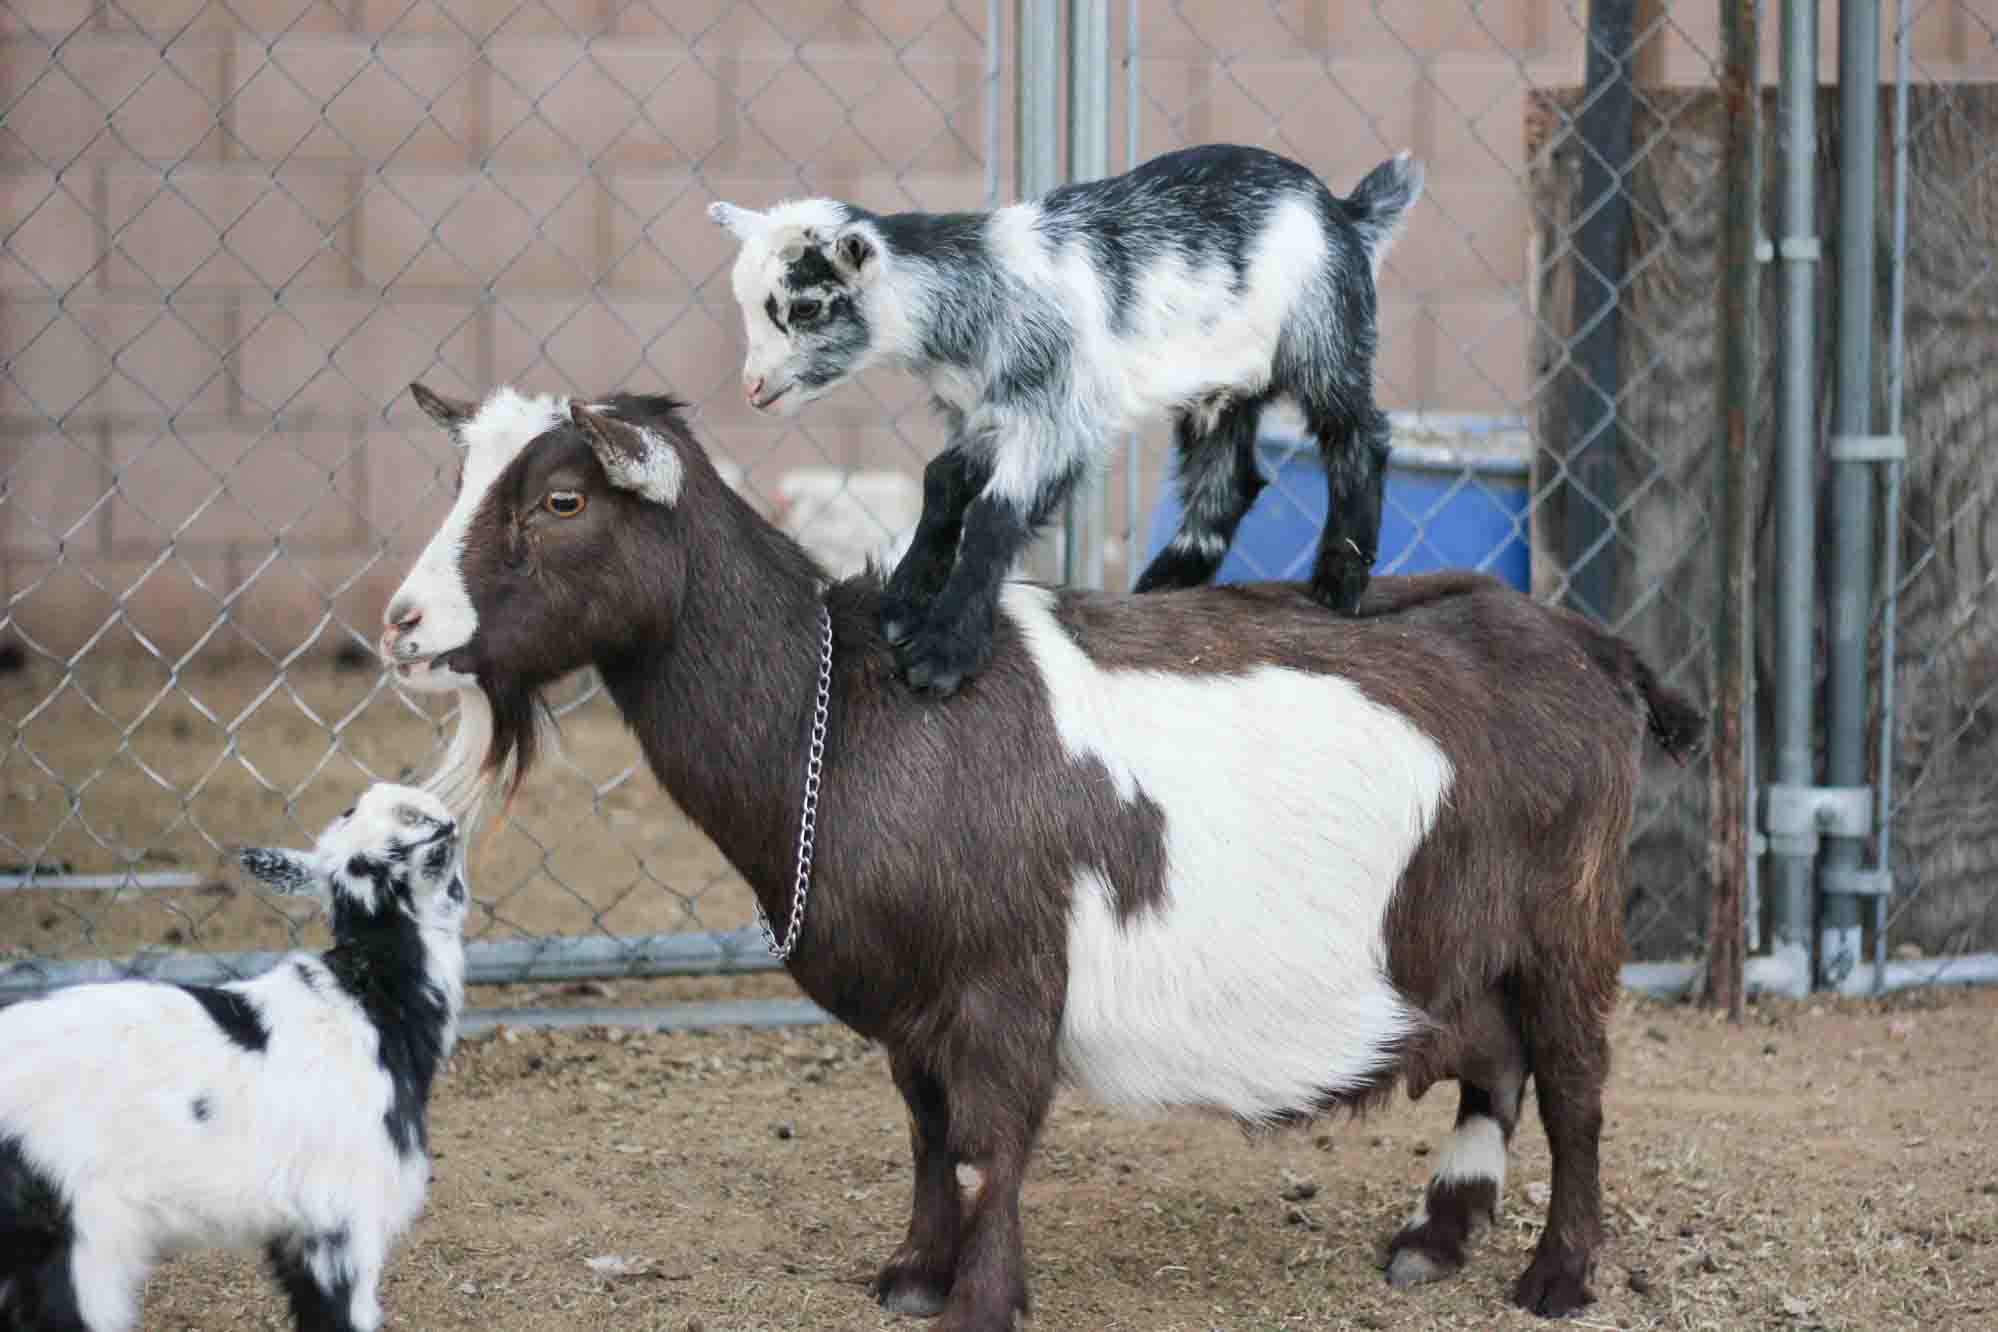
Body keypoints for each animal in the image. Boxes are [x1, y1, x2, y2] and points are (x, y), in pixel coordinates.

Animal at [711, 143, 1430, 698]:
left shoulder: (1056, 416)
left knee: (1359, 435)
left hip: (1323, 336)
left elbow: (996, 515)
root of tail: (1344, 211)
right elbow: (941, 480)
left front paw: (943, 651)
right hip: (1223, 386)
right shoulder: (988, 412)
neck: (979, 290)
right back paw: (1163, 585)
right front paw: (903, 603)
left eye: (805, 307)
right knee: (1231, 480)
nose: (752, 388)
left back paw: (1340, 580)